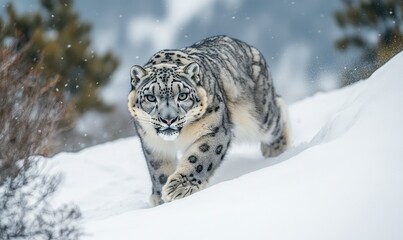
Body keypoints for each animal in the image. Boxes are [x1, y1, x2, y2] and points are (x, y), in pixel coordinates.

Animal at [128, 34, 288, 205]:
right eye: (151, 97)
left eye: (182, 95)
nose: (168, 119)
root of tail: (249, 46)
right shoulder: (153, 143)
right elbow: (158, 170)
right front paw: (160, 198)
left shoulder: (215, 129)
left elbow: (199, 159)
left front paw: (178, 188)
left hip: (260, 115)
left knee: (276, 112)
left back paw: (276, 149)